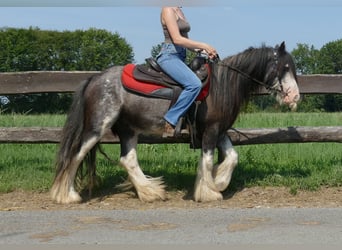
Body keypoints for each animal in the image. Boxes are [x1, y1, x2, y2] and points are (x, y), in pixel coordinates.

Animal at [50, 42, 300, 204]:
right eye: (285, 67)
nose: (295, 97)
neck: (222, 85)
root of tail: (95, 78)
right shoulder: (210, 131)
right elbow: (207, 160)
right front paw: (208, 192)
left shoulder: (219, 130)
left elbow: (232, 157)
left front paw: (218, 182)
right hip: (96, 127)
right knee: (76, 155)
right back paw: (67, 196)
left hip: (128, 129)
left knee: (127, 159)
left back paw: (151, 192)